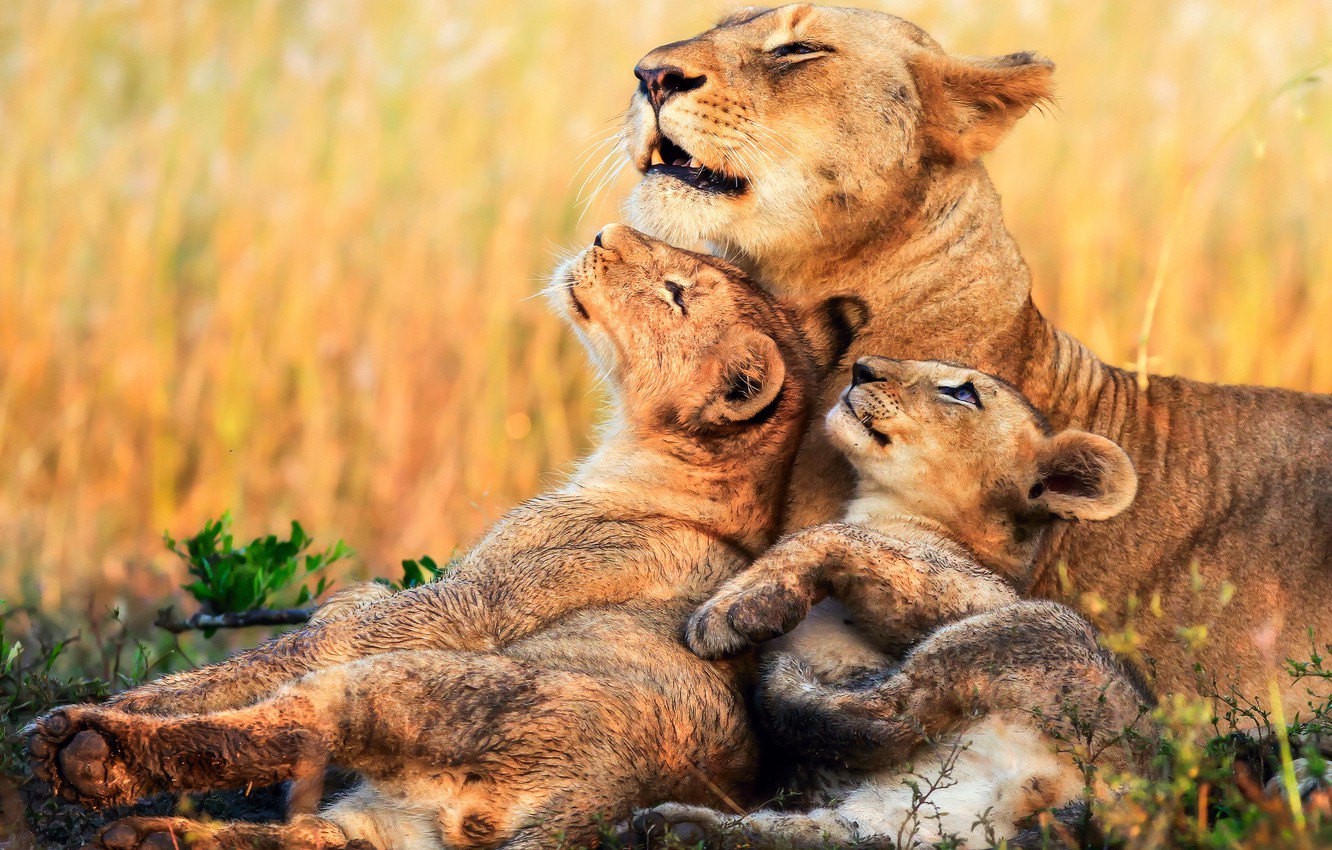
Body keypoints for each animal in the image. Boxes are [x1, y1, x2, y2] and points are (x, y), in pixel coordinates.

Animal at [27, 225, 850, 850]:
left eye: (678, 293)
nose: (603, 232)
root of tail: (592, 802)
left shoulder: (465, 605)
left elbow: (277, 653)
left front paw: (122, 703)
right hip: (387, 825)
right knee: (307, 837)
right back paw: (149, 835)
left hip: (415, 688)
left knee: (283, 724)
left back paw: (88, 751)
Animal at [626, 357, 1151, 848]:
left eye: (962, 393)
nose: (861, 368)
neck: (886, 508)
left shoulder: (979, 593)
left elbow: (831, 535)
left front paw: (733, 609)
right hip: (901, 817)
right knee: (833, 831)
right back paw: (676, 828)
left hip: (1038, 627)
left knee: (890, 714)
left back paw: (785, 683)